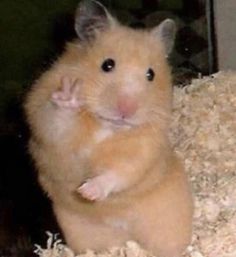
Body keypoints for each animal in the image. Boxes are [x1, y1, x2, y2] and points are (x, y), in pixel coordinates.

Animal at [24, 1, 194, 255]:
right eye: (107, 65)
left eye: (151, 74)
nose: (127, 109)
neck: (107, 127)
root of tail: (126, 236)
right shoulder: (45, 124)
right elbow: (58, 121)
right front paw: (70, 95)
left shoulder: (144, 150)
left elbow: (121, 172)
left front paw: (87, 192)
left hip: (170, 223)